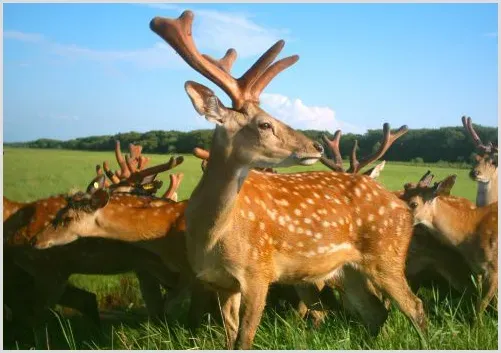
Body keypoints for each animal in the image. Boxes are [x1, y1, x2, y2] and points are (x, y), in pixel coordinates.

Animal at [148, 9, 426, 348]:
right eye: (265, 124)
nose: (316, 146)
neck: (211, 236)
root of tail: (403, 206)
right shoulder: (221, 283)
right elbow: (230, 339)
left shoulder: (259, 271)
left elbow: (245, 339)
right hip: (349, 271)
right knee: (375, 313)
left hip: (388, 255)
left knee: (415, 306)